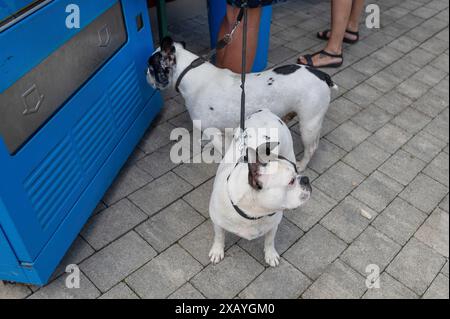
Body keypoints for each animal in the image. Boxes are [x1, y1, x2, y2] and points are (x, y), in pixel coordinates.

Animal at [148, 37, 338, 172]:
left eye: (151, 69)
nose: (145, 75)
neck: (190, 74)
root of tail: (323, 75)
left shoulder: (213, 131)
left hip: (309, 124)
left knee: (311, 147)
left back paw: (301, 165)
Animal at [208, 110, 312, 268]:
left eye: (296, 171)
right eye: (291, 181)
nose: (306, 179)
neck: (254, 211)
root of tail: (265, 112)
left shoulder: (273, 224)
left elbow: (269, 240)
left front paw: (270, 255)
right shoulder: (217, 222)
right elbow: (219, 236)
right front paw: (217, 251)